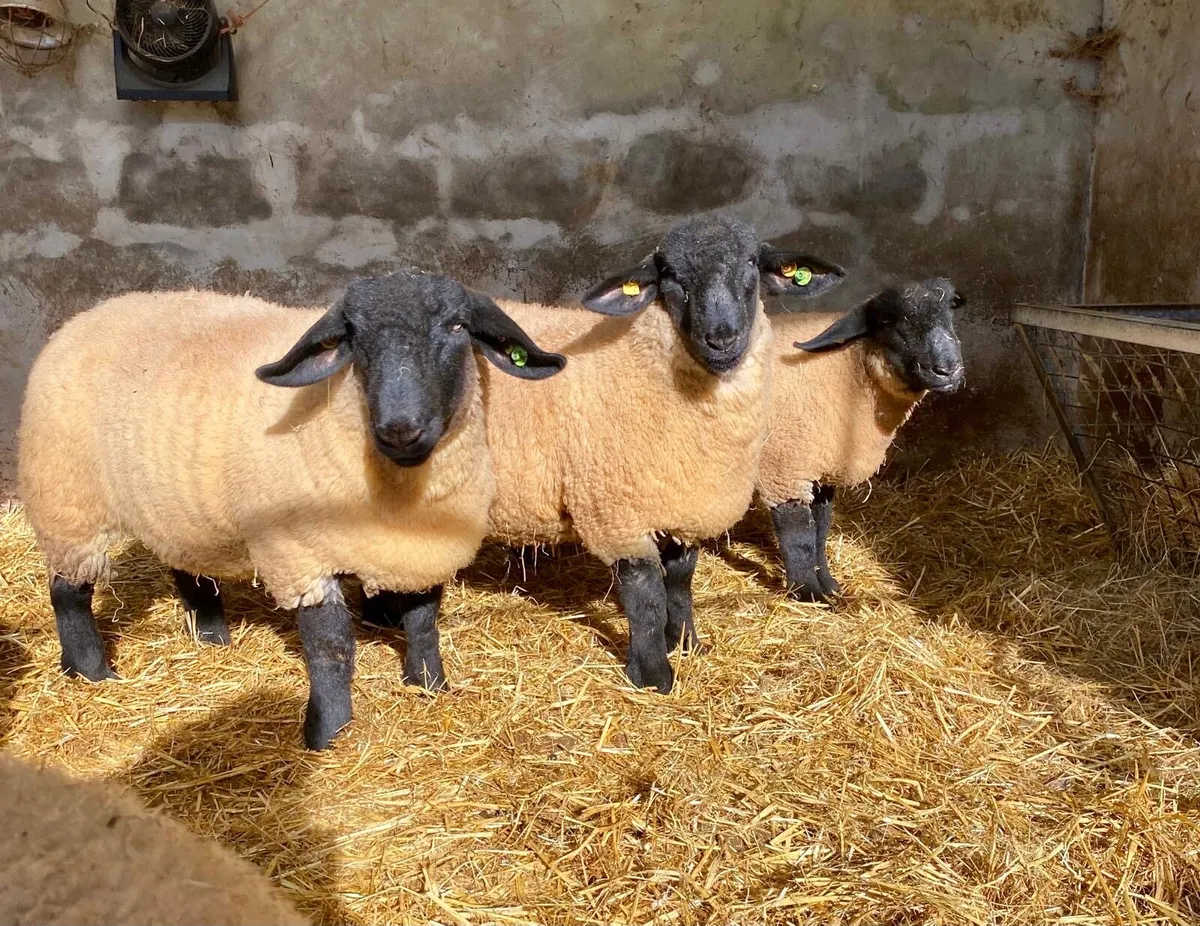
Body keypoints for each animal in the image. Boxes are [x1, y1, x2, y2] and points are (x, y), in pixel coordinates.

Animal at [17, 271, 565, 749]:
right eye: (354, 337)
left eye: (456, 326)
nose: (400, 429)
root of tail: (91, 312)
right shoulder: (300, 556)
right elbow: (330, 649)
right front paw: (329, 733)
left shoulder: (423, 546)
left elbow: (423, 621)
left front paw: (430, 685)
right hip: (67, 500)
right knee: (68, 591)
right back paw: (90, 671)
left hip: (175, 508)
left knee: (188, 568)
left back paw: (212, 639)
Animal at [364, 216, 845, 694]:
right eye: (672, 276)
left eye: (750, 263)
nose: (722, 338)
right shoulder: (617, 513)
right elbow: (645, 596)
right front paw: (654, 676)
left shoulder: (682, 504)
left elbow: (680, 581)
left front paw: (686, 643)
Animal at [758, 278, 966, 601]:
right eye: (889, 322)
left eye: (950, 314)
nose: (948, 370)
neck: (847, 370)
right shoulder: (784, 470)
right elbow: (799, 538)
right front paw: (809, 595)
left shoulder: (824, 467)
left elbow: (820, 529)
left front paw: (828, 584)